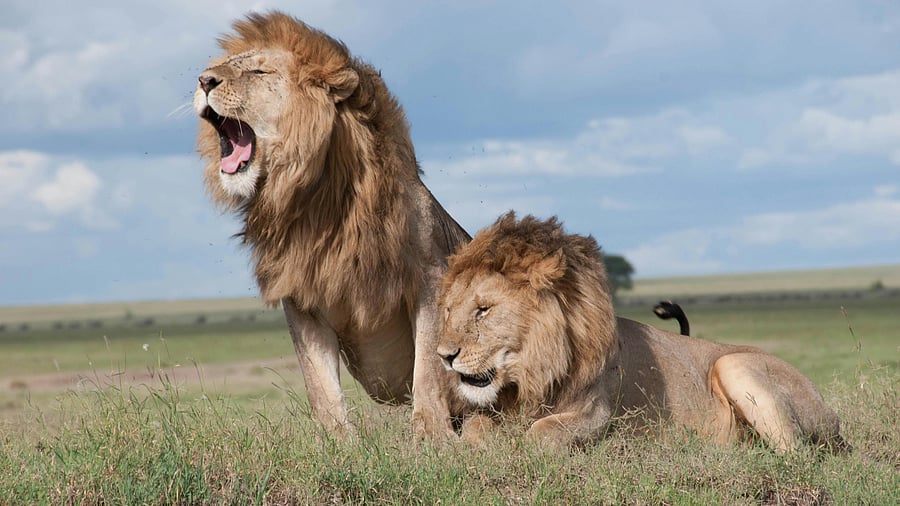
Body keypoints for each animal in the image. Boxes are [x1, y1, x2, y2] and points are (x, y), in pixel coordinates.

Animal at [194, 11, 470, 438]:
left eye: (258, 71)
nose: (204, 80)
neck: (316, 202)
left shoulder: (430, 278)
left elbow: (428, 368)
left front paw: (432, 438)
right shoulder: (301, 296)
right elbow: (320, 384)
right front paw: (338, 443)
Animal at [437, 213, 844, 451]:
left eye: (483, 310)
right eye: (449, 310)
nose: (444, 356)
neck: (531, 374)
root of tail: (831, 415)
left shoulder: (597, 412)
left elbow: (542, 433)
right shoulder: (490, 410)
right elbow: (474, 427)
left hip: (734, 364)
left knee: (796, 454)